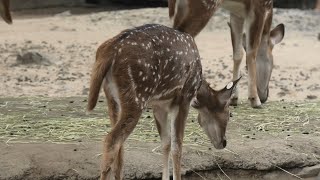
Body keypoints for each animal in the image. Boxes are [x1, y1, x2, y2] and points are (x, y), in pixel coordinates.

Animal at [87, 24, 240, 180]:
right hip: (136, 96)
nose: (223, 142)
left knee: (119, 146)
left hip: (112, 98)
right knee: (111, 140)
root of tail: (107, 52)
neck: (197, 89)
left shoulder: (158, 105)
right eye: (229, 114)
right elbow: (177, 146)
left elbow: (165, 143)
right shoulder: (184, 99)